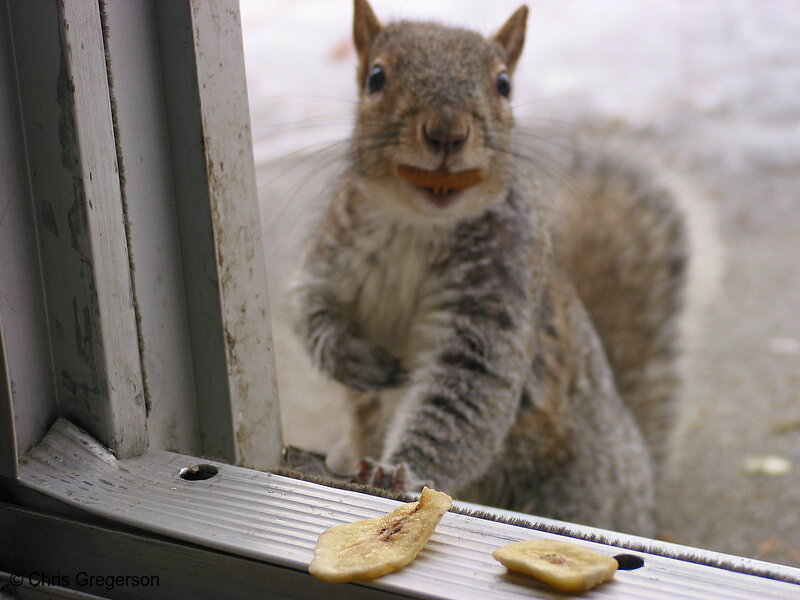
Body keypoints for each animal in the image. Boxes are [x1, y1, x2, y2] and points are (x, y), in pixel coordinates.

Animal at [290, 0, 684, 536]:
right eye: (376, 77)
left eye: (503, 84)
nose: (447, 133)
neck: (418, 223)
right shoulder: (332, 256)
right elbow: (310, 311)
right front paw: (352, 358)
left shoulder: (499, 289)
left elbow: (468, 393)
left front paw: (398, 472)